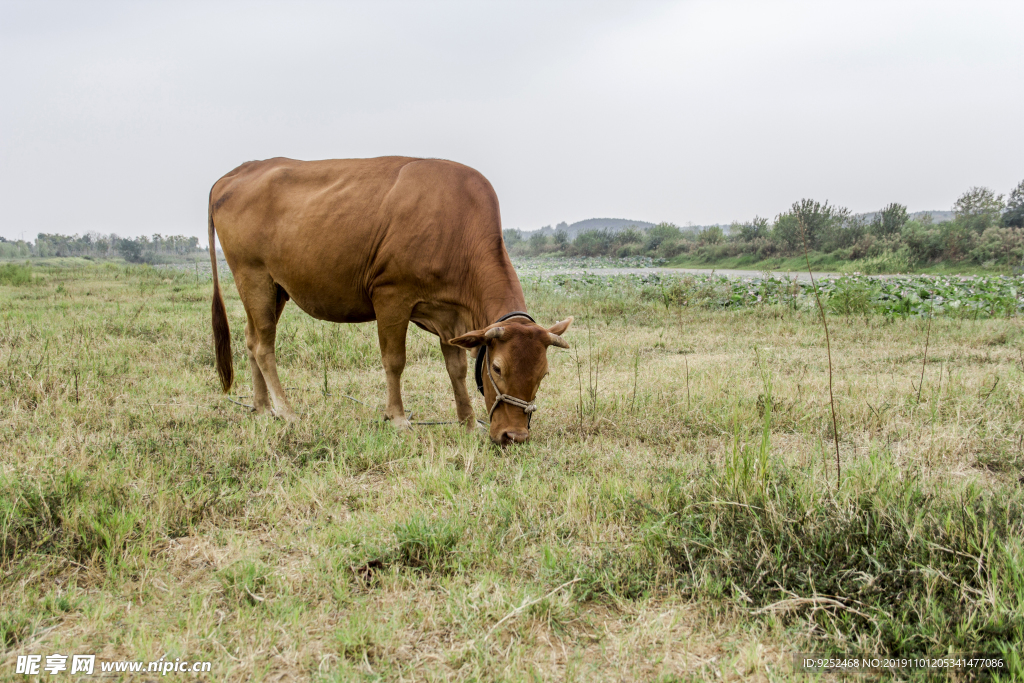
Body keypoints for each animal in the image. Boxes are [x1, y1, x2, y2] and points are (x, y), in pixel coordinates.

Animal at [205, 155, 577, 446]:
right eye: (497, 367)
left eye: (544, 373)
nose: (514, 436)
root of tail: (240, 170)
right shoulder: (392, 295)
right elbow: (394, 361)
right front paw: (398, 419)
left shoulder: (449, 315)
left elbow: (455, 368)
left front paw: (468, 421)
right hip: (253, 275)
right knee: (264, 345)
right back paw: (286, 410)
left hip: (274, 288)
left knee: (251, 339)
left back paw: (262, 408)